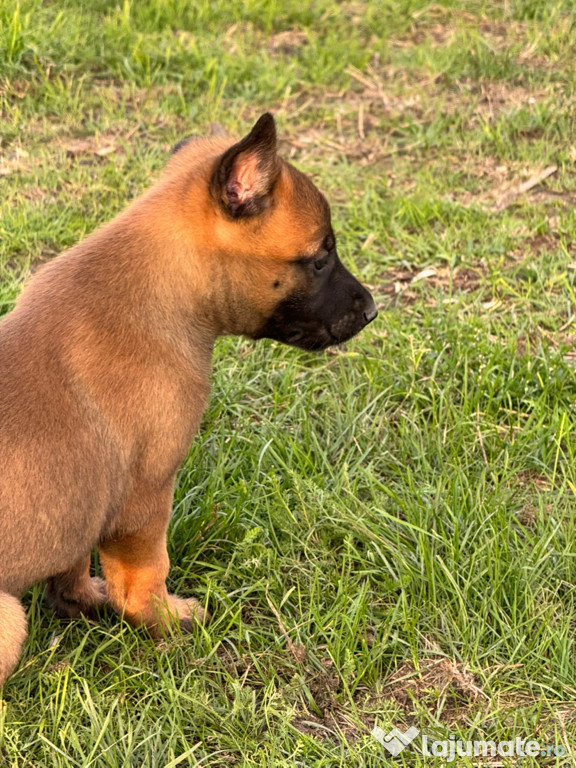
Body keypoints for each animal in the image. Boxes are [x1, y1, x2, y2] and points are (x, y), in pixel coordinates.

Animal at [0, 114, 378, 684]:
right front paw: (167, 623)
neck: (164, 292)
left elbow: (72, 567)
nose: (373, 310)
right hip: (7, 619)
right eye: (319, 259)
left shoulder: (88, 505)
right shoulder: (146, 495)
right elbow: (143, 579)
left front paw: (82, 601)